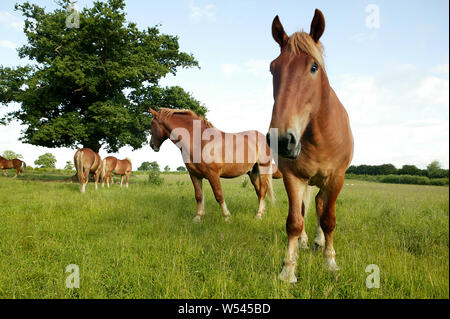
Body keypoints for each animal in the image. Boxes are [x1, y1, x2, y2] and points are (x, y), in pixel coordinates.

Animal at [149, 107, 282, 222]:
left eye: (152, 124)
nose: (152, 145)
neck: (199, 141)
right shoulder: (194, 175)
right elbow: (199, 196)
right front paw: (198, 217)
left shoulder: (213, 174)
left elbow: (219, 195)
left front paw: (227, 217)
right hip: (252, 172)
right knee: (259, 192)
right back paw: (261, 212)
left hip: (263, 168)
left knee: (263, 191)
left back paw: (258, 215)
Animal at [266, 10, 354, 284]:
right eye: (273, 69)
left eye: (313, 67)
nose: (282, 139)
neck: (318, 136)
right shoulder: (293, 177)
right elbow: (295, 221)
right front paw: (288, 270)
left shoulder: (336, 178)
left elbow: (328, 219)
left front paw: (330, 262)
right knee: (308, 206)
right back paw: (306, 242)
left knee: (320, 205)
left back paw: (319, 242)